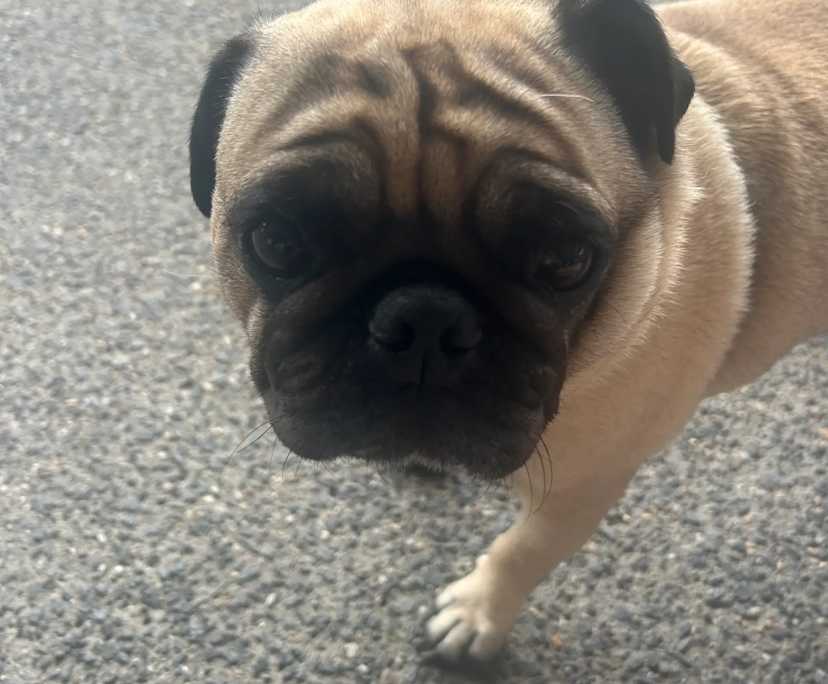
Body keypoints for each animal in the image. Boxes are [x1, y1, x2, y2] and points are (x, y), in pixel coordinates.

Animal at [188, 0, 828, 662]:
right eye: (276, 241)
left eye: (566, 259)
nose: (423, 318)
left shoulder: (584, 483)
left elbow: (522, 552)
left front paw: (477, 615)